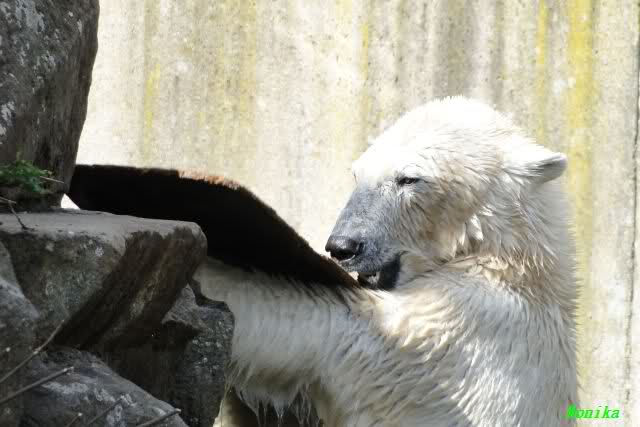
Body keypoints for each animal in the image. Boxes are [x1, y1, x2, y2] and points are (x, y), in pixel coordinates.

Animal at [197, 96, 578, 427]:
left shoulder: (462, 333)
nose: (342, 246)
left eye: (408, 178)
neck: (513, 262)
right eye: (357, 174)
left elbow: (330, 326)